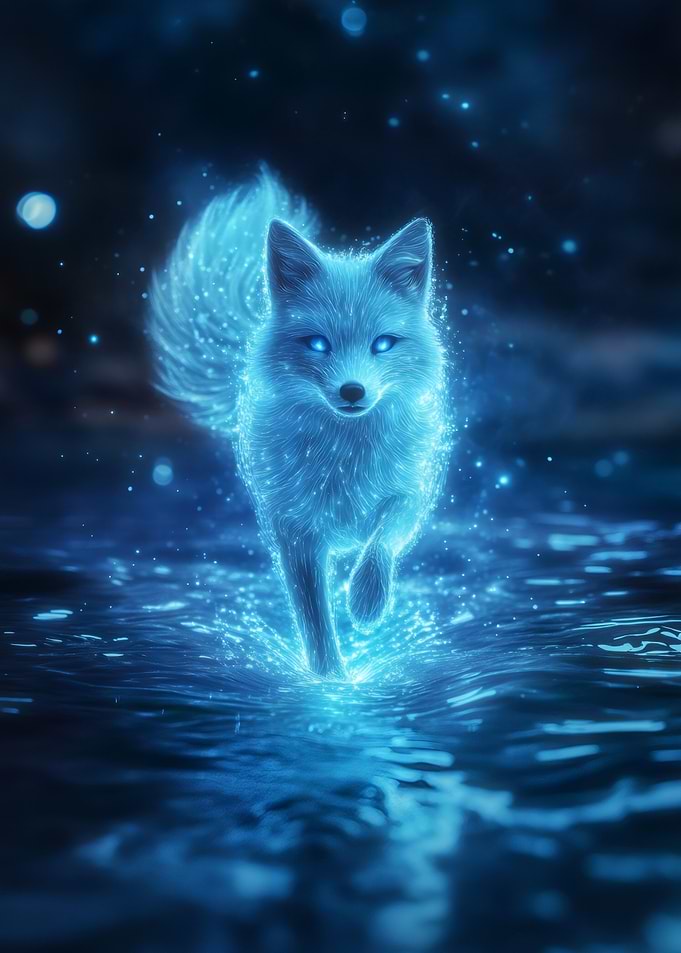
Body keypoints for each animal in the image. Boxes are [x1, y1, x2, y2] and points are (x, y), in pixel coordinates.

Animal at [150, 169, 449, 676]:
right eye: (318, 344)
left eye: (383, 344)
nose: (352, 392)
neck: (345, 456)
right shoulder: (295, 532)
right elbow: (313, 614)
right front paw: (331, 679)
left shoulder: (411, 492)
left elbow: (382, 541)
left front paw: (366, 602)